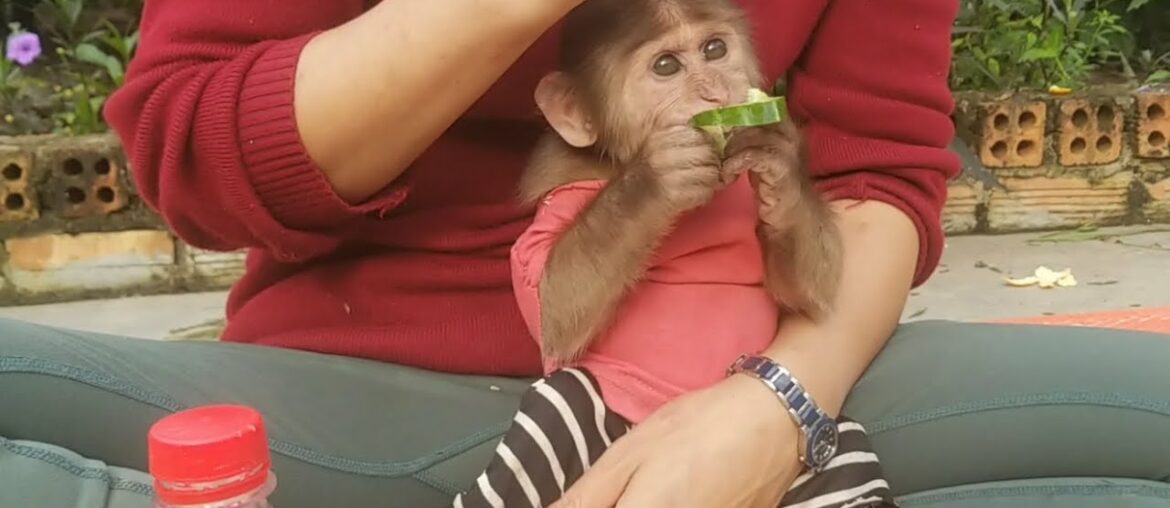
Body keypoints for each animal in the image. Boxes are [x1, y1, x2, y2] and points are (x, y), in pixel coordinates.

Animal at [451, 1, 897, 507]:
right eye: (666, 66)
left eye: (715, 49)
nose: (714, 90)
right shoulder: (559, 201)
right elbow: (554, 317)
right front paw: (657, 176)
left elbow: (806, 292)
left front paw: (778, 160)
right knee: (563, 401)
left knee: (845, 459)